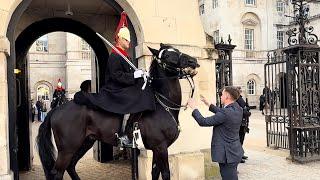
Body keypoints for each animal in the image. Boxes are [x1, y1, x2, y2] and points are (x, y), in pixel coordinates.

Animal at [36, 44, 199, 180]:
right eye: (167, 56)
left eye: (177, 49)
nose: (193, 61)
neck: (164, 106)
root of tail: (56, 109)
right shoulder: (160, 147)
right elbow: (165, 174)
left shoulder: (156, 149)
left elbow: (154, 173)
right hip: (67, 149)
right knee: (57, 172)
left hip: (85, 142)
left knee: (70, 166)